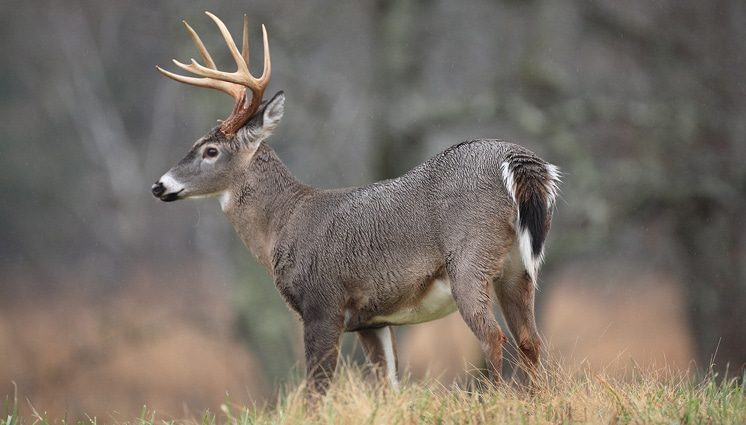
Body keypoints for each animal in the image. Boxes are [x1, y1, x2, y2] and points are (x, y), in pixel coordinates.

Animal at [151, 11, 560, 394]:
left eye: (210, 150)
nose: (159, 185)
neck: (282, 223)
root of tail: (518, 160)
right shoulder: (374, 319)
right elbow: (389, 385)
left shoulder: (322, 302)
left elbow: (317, 388)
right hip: (518, 269)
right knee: (530, 340)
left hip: (469, 258)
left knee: (493, 337)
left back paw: (496, 398)